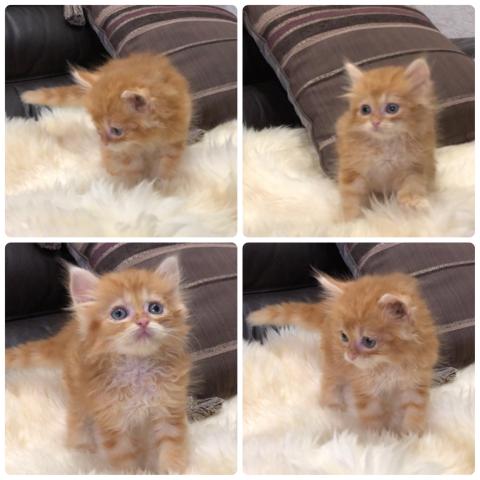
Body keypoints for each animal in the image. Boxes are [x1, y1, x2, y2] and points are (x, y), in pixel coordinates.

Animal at [6, 256, 191, 473]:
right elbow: (124, 459)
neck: (137, 366)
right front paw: (134, 472)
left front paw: (172, 470)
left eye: (155, 308)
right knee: (77, 419)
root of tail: (69, 331)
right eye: (118, 313)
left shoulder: (169, 408)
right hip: (78, 393)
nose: (143, 322)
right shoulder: (111, 419)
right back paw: (81, 449)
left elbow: (171, 447)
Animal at [21, 53, 192, 186]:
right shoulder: (122, 152)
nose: (103, 142)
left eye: (116, 130)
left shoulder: (173, 139)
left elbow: (165, 167)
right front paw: (137, 188)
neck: (145, 140)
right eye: (97, 128)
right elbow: (131, 169)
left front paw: (159, 187)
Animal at [248, 272, 439, 435]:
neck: (387, 363)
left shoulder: (416, 380)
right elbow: (372, 415)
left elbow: (414, 410)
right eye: (344, 336)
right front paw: (379, 438)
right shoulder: (363, 386)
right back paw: (332, 405)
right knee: (330, 381)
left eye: (368, 341)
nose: (351, 355)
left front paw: (410, 436)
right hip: (334, 361)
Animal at [335, 58, 437, 220]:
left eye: (392, 108)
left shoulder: (414, 166)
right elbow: (351, 198)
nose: (375, 122)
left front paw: (413, 203)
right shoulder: (352, 170)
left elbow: (412, 186)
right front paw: (349, 220)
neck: (385, 145)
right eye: (365, 109)